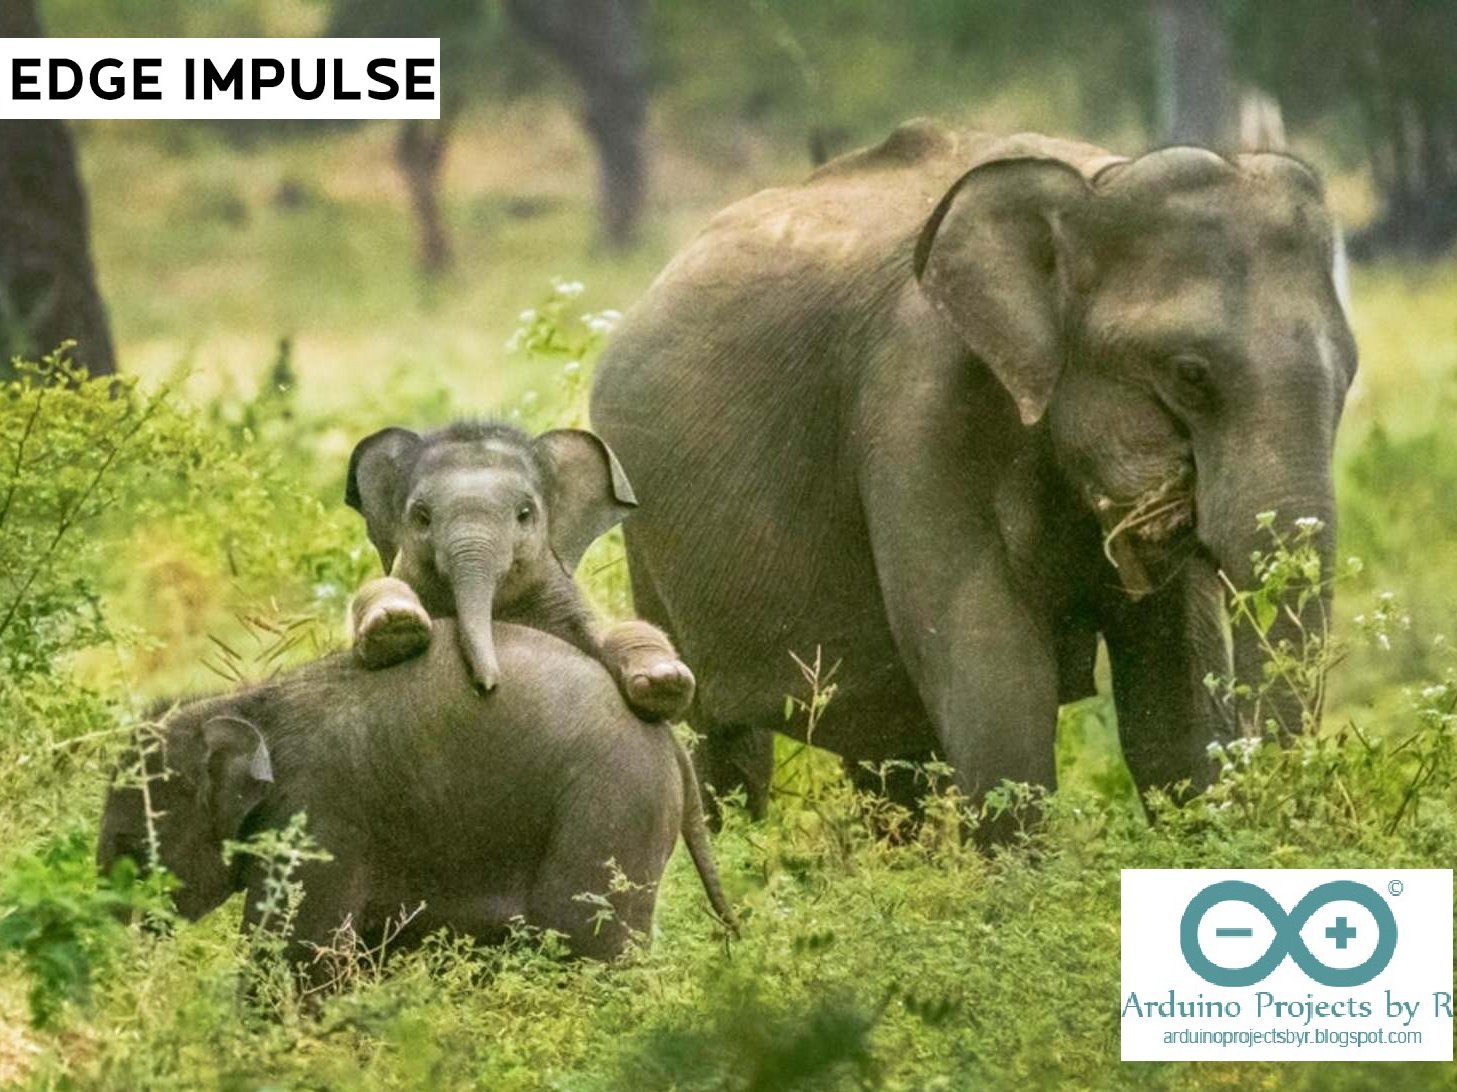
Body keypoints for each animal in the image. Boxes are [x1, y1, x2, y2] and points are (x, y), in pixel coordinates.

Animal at [96, 619, 735, 973]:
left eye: (129, 846)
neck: (250, 701)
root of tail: (669, 741)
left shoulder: (318, 817)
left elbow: (298, 953)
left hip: (610, 808)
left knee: (586, 945)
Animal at [589, 121, 1356, 819]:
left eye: (1347, 376)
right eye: (1190, 375)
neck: (1096, 184)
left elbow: (1173, 700)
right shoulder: (916, 402)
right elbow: (993, 676)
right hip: (648, 537)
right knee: (721, 741)